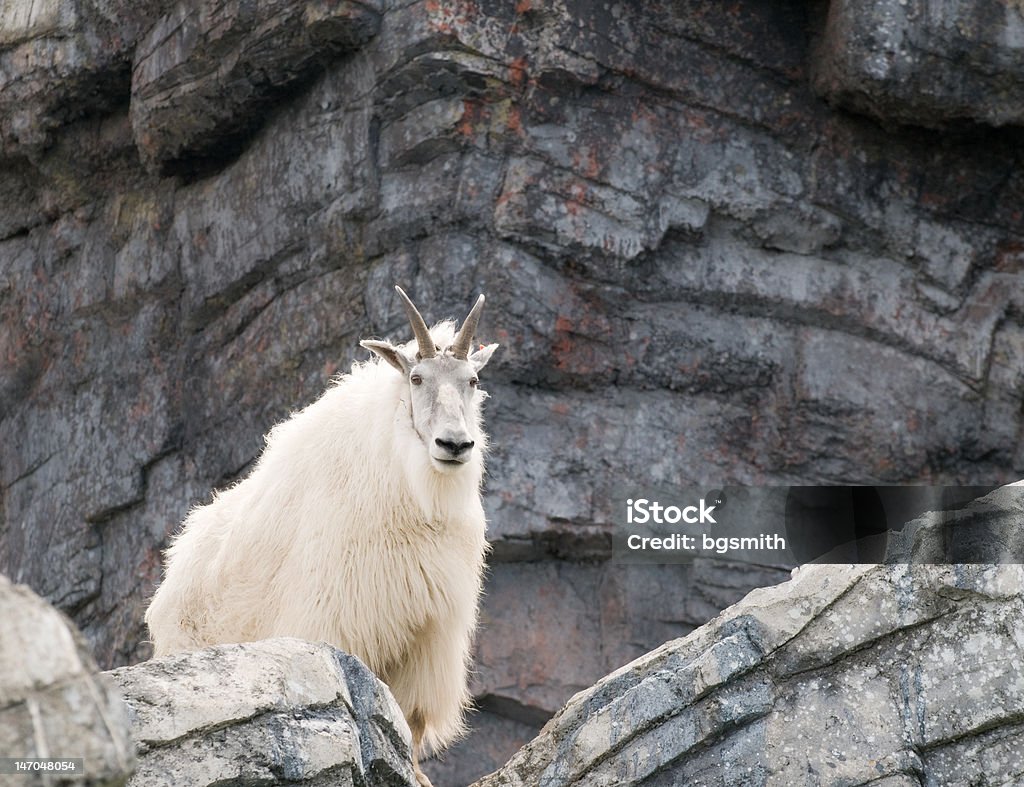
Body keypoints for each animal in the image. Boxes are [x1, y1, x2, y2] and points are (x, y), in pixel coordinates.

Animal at [144, 286, 499, 781]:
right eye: (416, 378)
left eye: (472, 380)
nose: (454, 444)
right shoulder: (337, 616)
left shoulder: (428, 634)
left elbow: (410, 720)